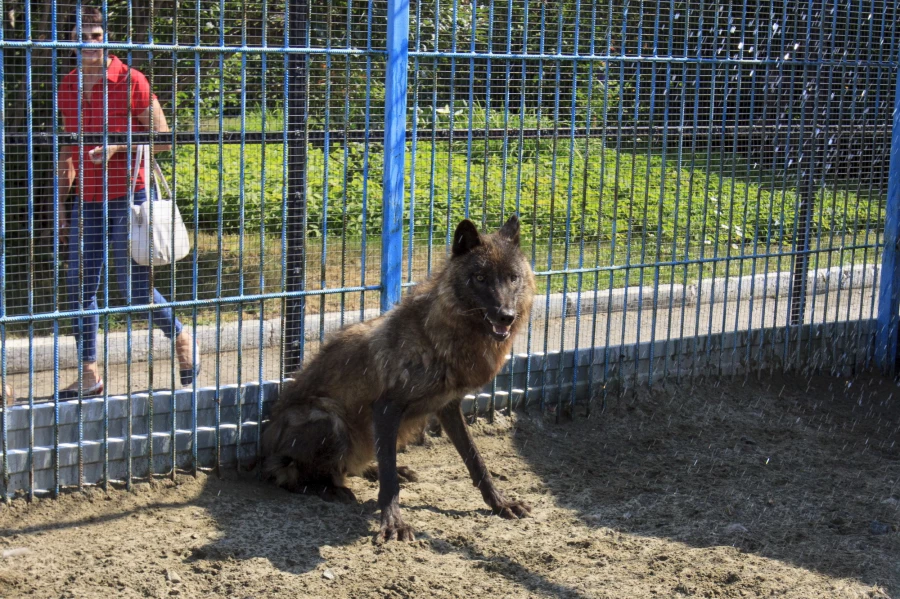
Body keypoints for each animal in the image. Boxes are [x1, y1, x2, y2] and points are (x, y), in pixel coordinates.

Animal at [264, 216, 536, 544]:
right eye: (481, 277)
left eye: (512, 278)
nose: (506, 316)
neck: (436, 337)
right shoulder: (386, 409)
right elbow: (390, 480)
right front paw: (393, 522)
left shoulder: (448, 407)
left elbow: (476, 460)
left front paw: (500, 503)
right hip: (329, 418)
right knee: (298, 477)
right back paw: (332, 489)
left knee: (359, 465)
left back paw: (375, 471)